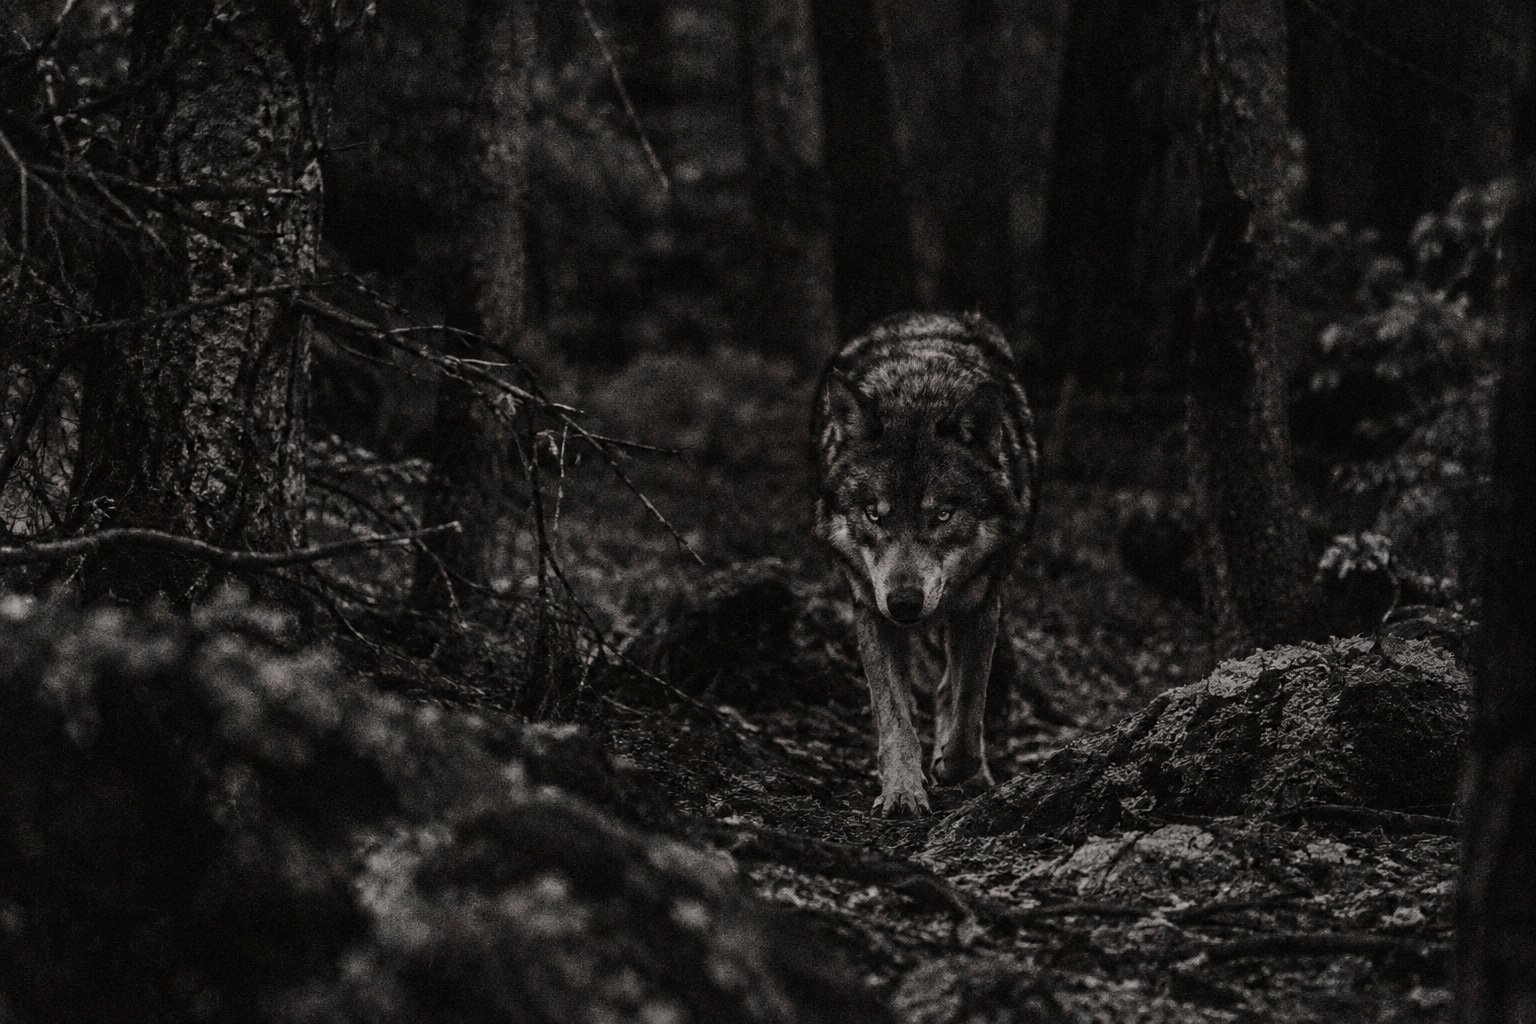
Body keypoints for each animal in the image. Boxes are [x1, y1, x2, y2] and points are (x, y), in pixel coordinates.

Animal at [812, 312, 1039, 817]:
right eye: (875, 513)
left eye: (943, 515)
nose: (904, 602)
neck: (918, 395)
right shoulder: (871, 610)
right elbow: (895, 717)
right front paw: (901, 791)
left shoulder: (981, 606)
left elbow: (968, 706)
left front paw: (953, 767)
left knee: (947, 689)